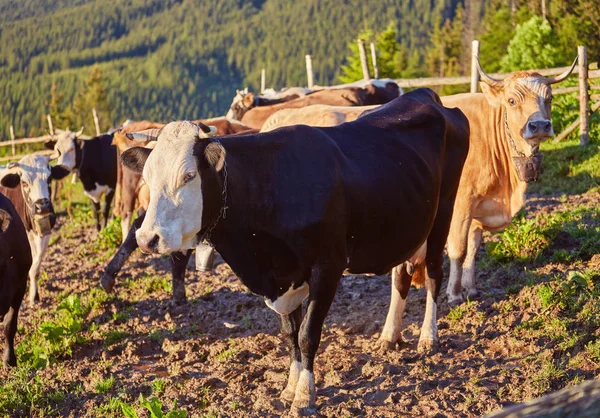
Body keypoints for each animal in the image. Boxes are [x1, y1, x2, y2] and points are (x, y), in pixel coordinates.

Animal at [0, 154, 68, 304]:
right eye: (24, 183)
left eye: (49, 178)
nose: (42, 206)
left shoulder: (46, 234)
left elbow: (35, 267)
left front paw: (34, 297)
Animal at [120, 90, 468, 414]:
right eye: (147, 177)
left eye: (189, 176)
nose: (147, 238)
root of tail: (423, 95)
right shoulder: (283, 276)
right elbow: (289, 334)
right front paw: (289, 387)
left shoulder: (327, 268)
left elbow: (307, 335)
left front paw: (304, 397)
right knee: (402, 275)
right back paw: (389, 335)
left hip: (444, 211)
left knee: (434, 272)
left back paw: (428, 338)